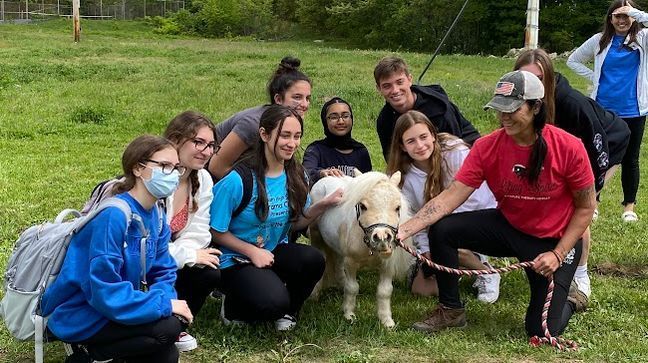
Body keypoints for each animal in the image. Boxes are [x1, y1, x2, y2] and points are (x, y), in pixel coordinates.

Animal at [310, 172, 412, 328]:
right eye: (362, 206)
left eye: (397, 207)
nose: (382, 238)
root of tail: (323, 179)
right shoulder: (351, 262)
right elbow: (352, 288)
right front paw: (349, 315)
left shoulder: (387, 265)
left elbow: (385, 291)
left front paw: (386, 321)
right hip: (316, 237)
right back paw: (314, 294)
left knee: (338, 264)